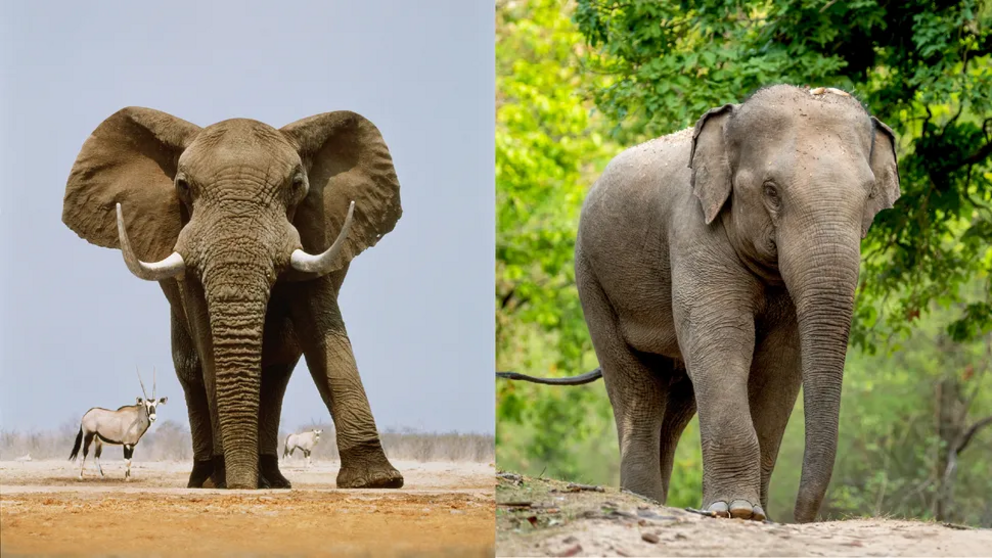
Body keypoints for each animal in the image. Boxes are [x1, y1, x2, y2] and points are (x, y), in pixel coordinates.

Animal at [63, 107, 404, 492]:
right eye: (182, 186)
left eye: (297, 185)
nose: (242, 485)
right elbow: (208, 345)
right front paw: (224, 478)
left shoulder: (315, 231)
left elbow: (325, 335)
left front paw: (378, 481)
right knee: (191, 371)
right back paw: (207, 479)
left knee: (277, 370)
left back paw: (270, 480)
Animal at [504, 84, 900, 524]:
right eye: (771, 191)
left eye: (869, 195)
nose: (797, 519)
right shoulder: (693, 229)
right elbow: (723, 338)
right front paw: (736, 510)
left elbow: (779, 363)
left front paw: (754, 514)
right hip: (591, 279)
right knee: (638, 388)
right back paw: (641, 497)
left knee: (677, 402)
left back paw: (657, 498)